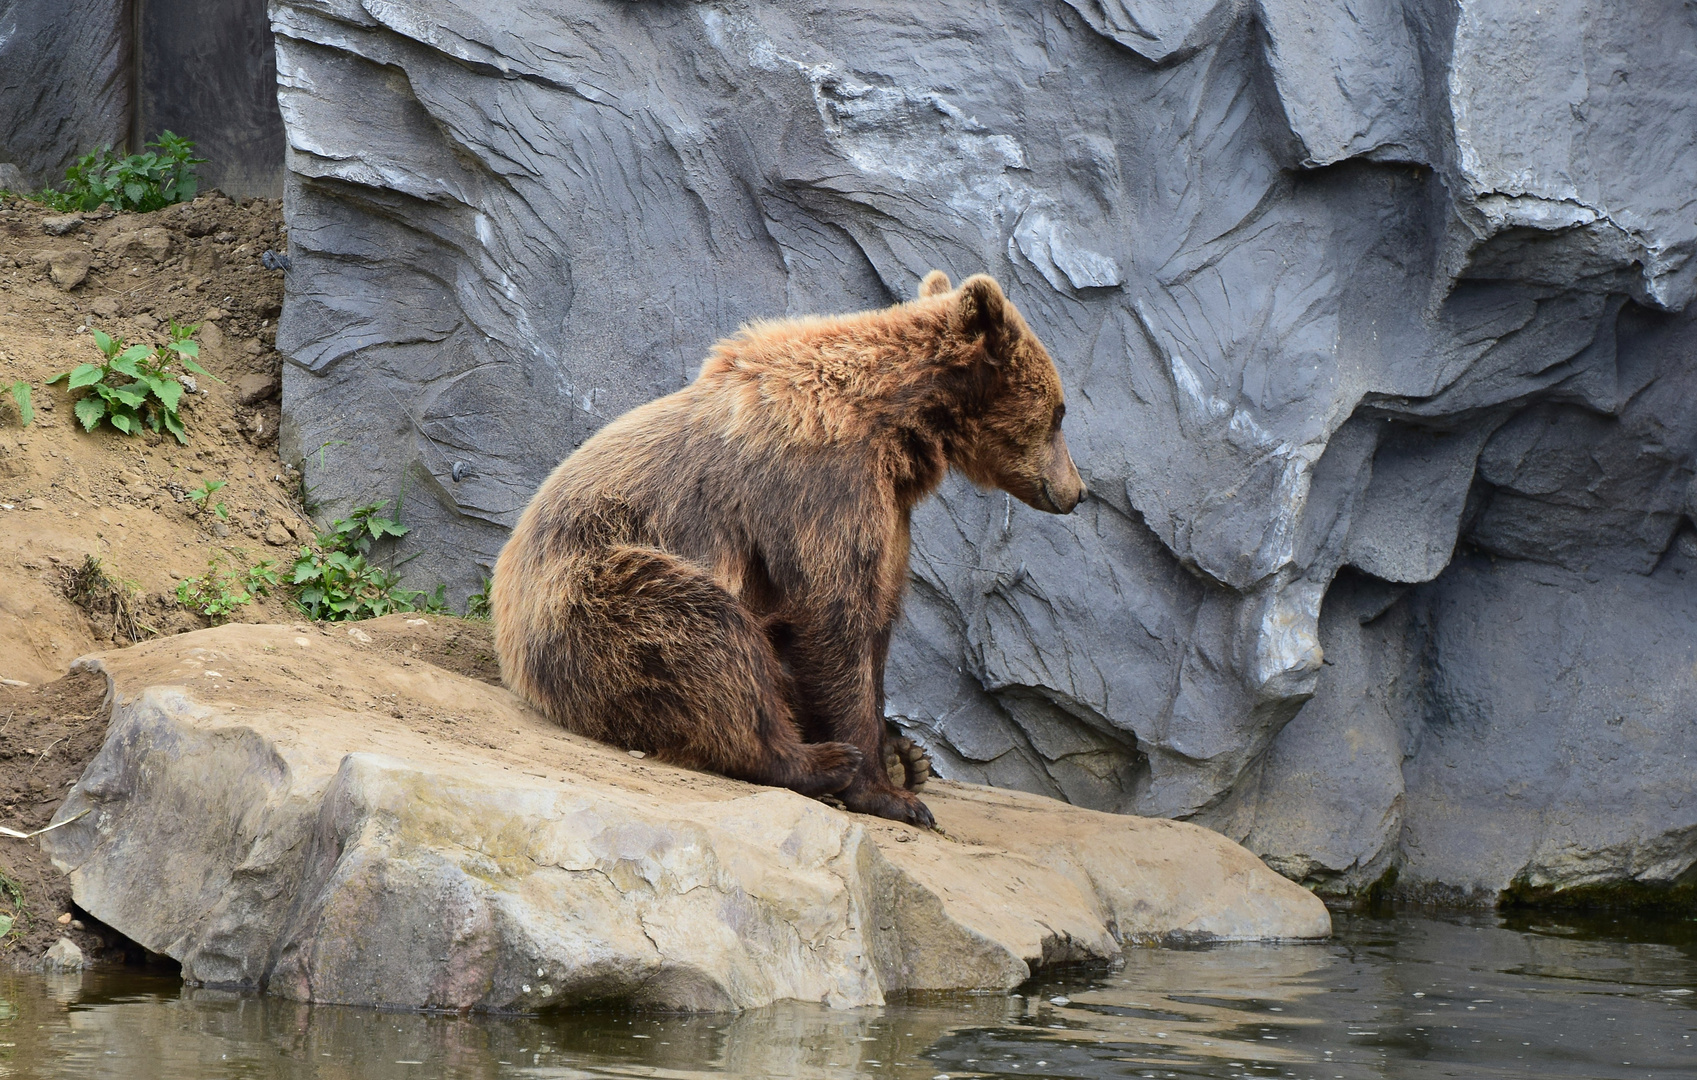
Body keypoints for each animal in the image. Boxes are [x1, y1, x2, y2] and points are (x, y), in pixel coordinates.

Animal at [492, 271, 1086, 825]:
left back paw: (902, 756)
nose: (1076, 492)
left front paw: (898, 755)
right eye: (1059, 412)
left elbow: (875, 621)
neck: (898, 426)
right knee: (702, 633)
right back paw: (814, 760)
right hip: (592, 587)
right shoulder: (817, 491)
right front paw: (886, 790)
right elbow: (833, 619)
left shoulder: (888, 514)